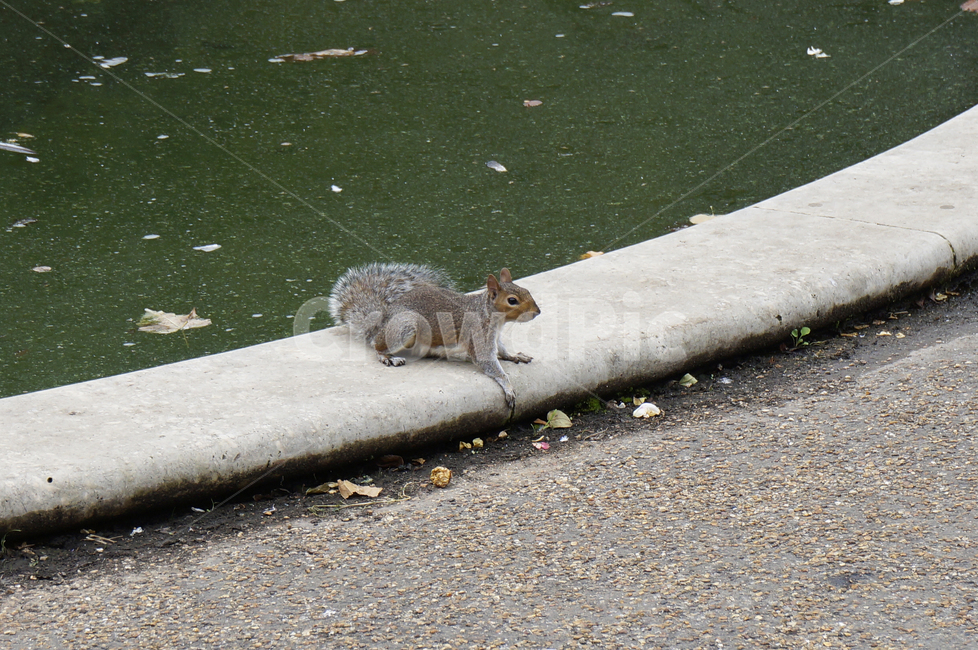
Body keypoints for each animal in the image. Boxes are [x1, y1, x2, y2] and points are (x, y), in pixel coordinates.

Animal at [328, 262, 541, 409]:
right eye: (512, 300)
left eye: (527, 290)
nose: (537, 312)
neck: (492, 316)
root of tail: (381, 322)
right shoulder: (478, 333)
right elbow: (488, 362)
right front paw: (508, 387)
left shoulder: (495, 337)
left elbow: (502, 350)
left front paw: (514, 355)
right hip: (405, 327)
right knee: (377, 345)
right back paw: (387, 357)